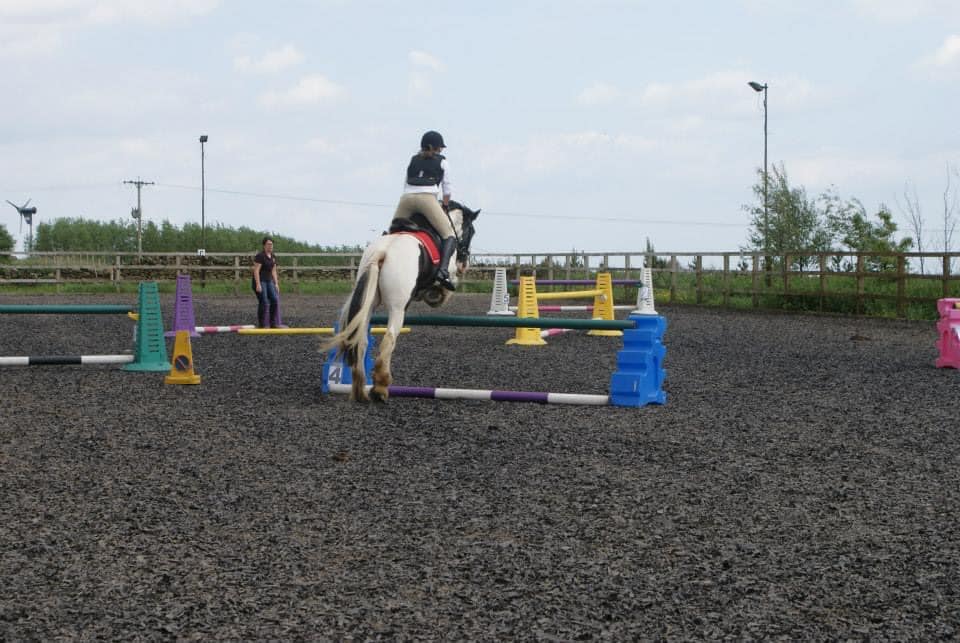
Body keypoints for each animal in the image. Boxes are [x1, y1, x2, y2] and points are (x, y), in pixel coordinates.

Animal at [321, 201, 480, 402]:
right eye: (471, 231)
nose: (464, 264)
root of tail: (384, 250)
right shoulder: (449, 272)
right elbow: (447, 286)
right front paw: (437, 295)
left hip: (368, 303)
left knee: (362, 341)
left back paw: (360, 390)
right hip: (398, 308)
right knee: (389, 339)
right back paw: (380, 388)